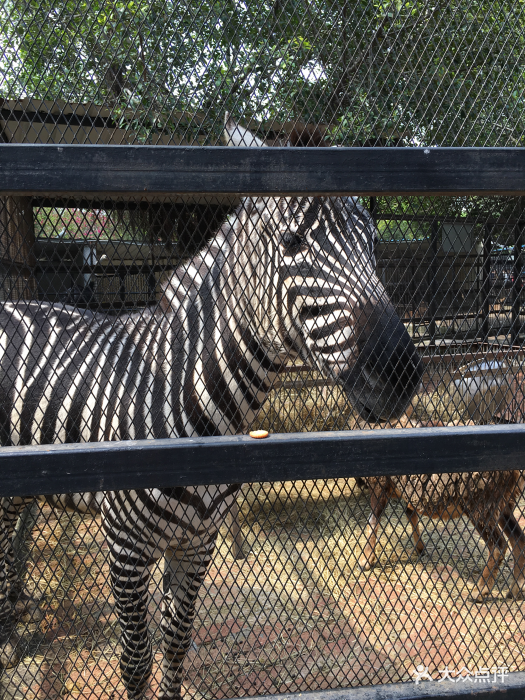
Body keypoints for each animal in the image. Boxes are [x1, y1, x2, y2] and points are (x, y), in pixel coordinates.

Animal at [0, 117, 422, 696]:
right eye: (291, 241)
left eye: (375, 243)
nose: (402, 374)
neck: (191, 402)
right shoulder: (126, 549)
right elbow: (136, 660)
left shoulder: (197, 544)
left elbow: (177, 645)